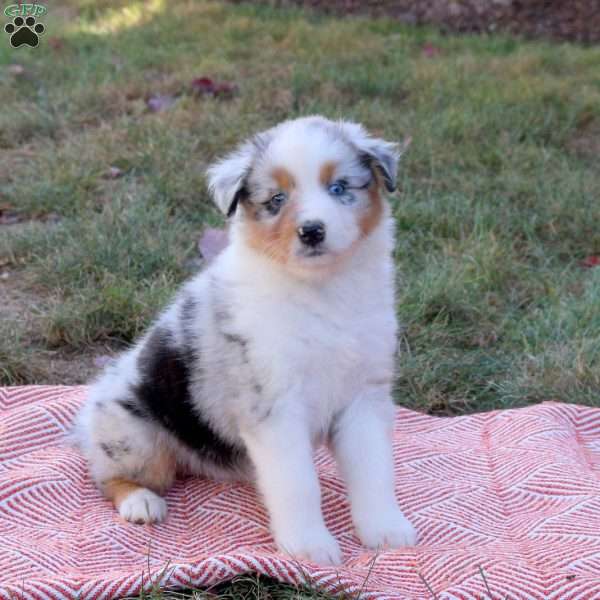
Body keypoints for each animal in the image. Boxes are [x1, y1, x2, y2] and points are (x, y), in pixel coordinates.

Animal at [76, 115, 418, 564]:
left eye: (339, 187)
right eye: (276, 199)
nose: (311, 231)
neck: (322, 290)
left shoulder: (364, 395)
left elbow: (374, 470)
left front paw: (386, 530)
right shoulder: (274, 406)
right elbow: (297, 483)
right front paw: (310, 547)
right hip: (133, 433)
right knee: (109, 476)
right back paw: (141, 501)